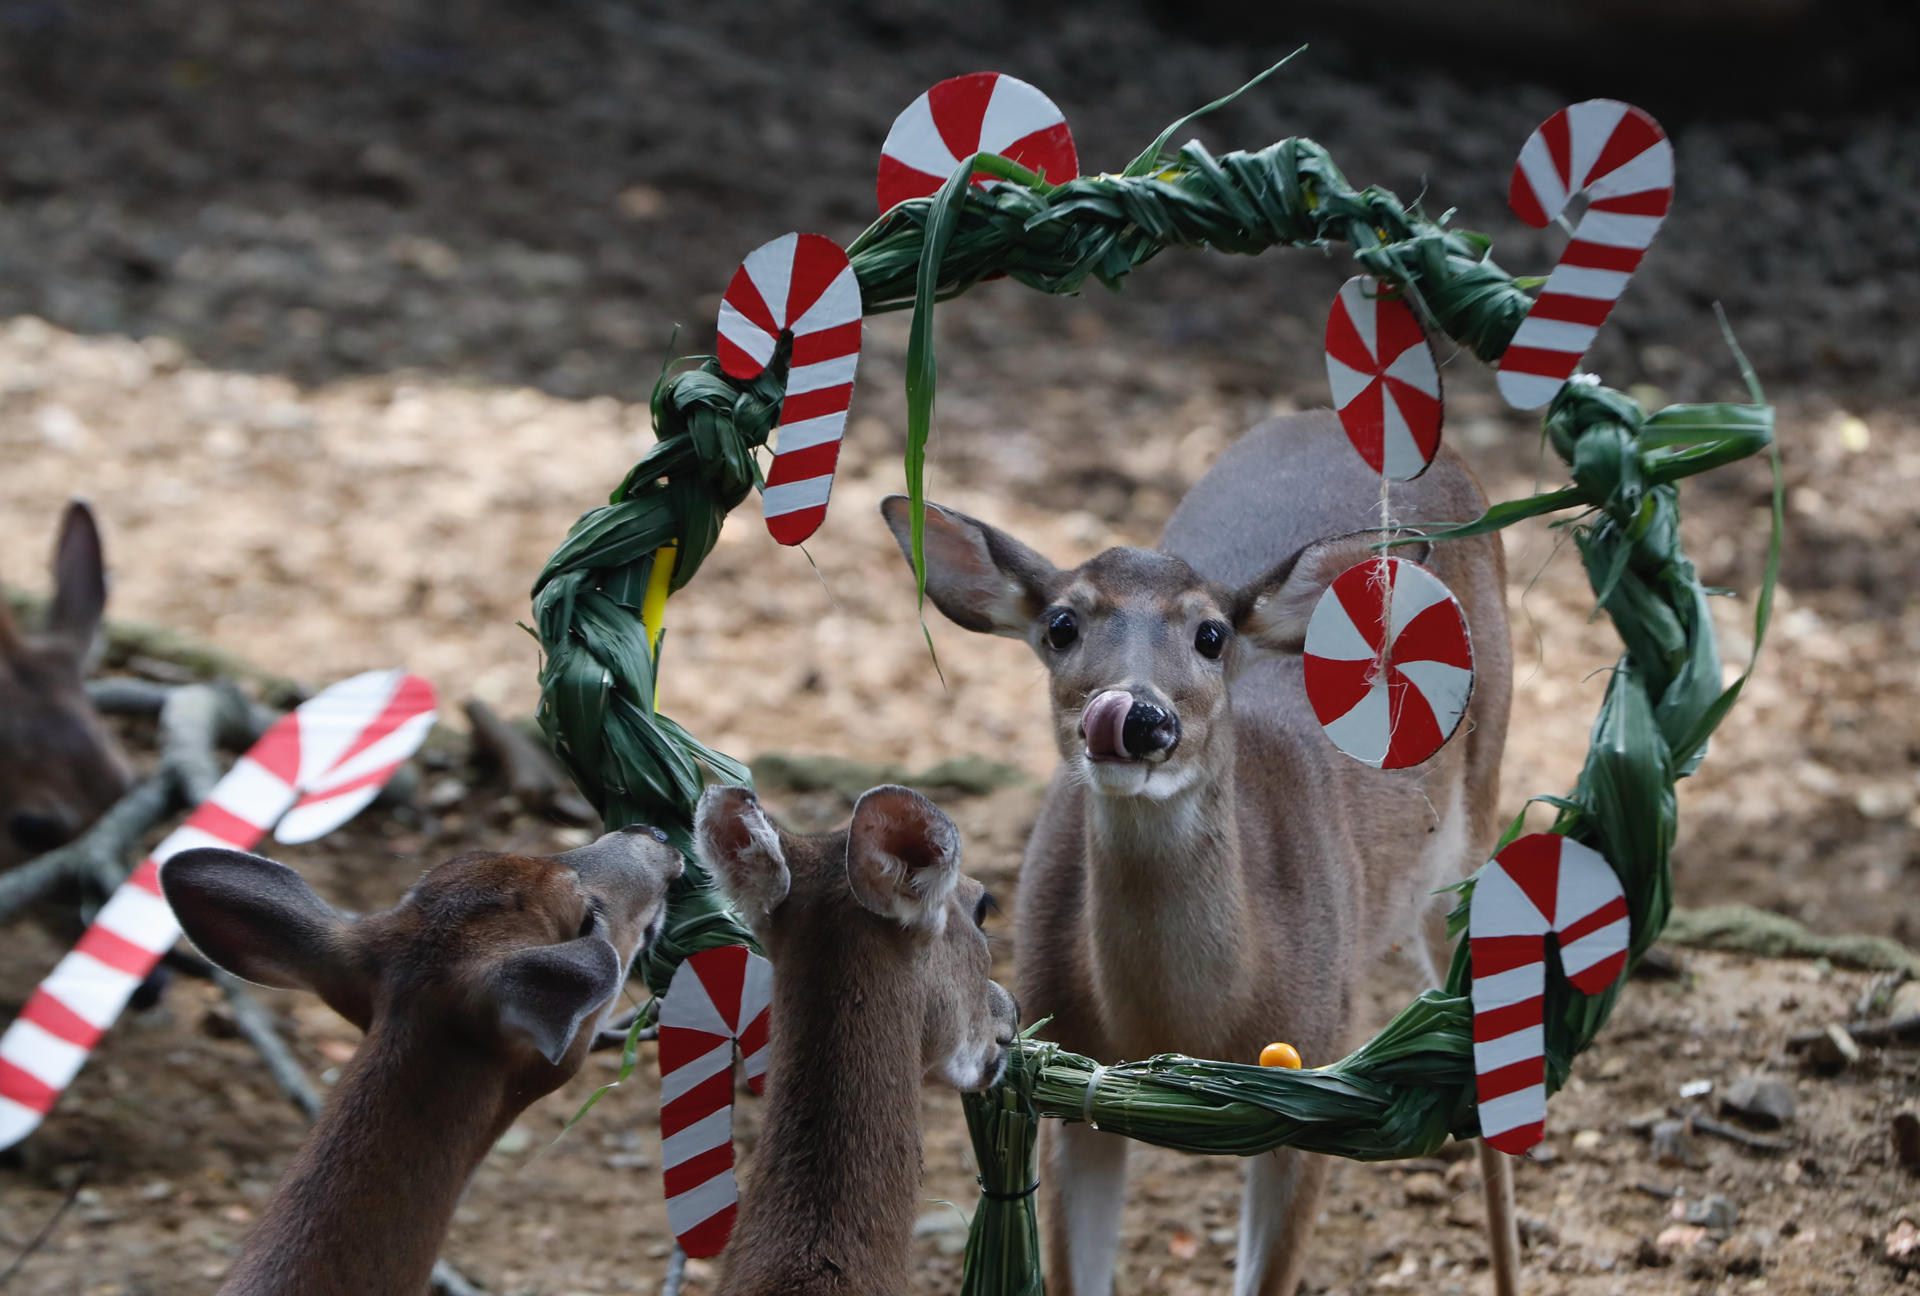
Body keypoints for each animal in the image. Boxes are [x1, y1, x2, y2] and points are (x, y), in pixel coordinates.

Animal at [879, 408, 1520, 1296]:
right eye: (1061, 626)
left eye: (1211, 634)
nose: (1138, 717)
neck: (1191, 1025)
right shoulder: (1064, 1083)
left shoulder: (1323, 1073)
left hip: (1474, 819)